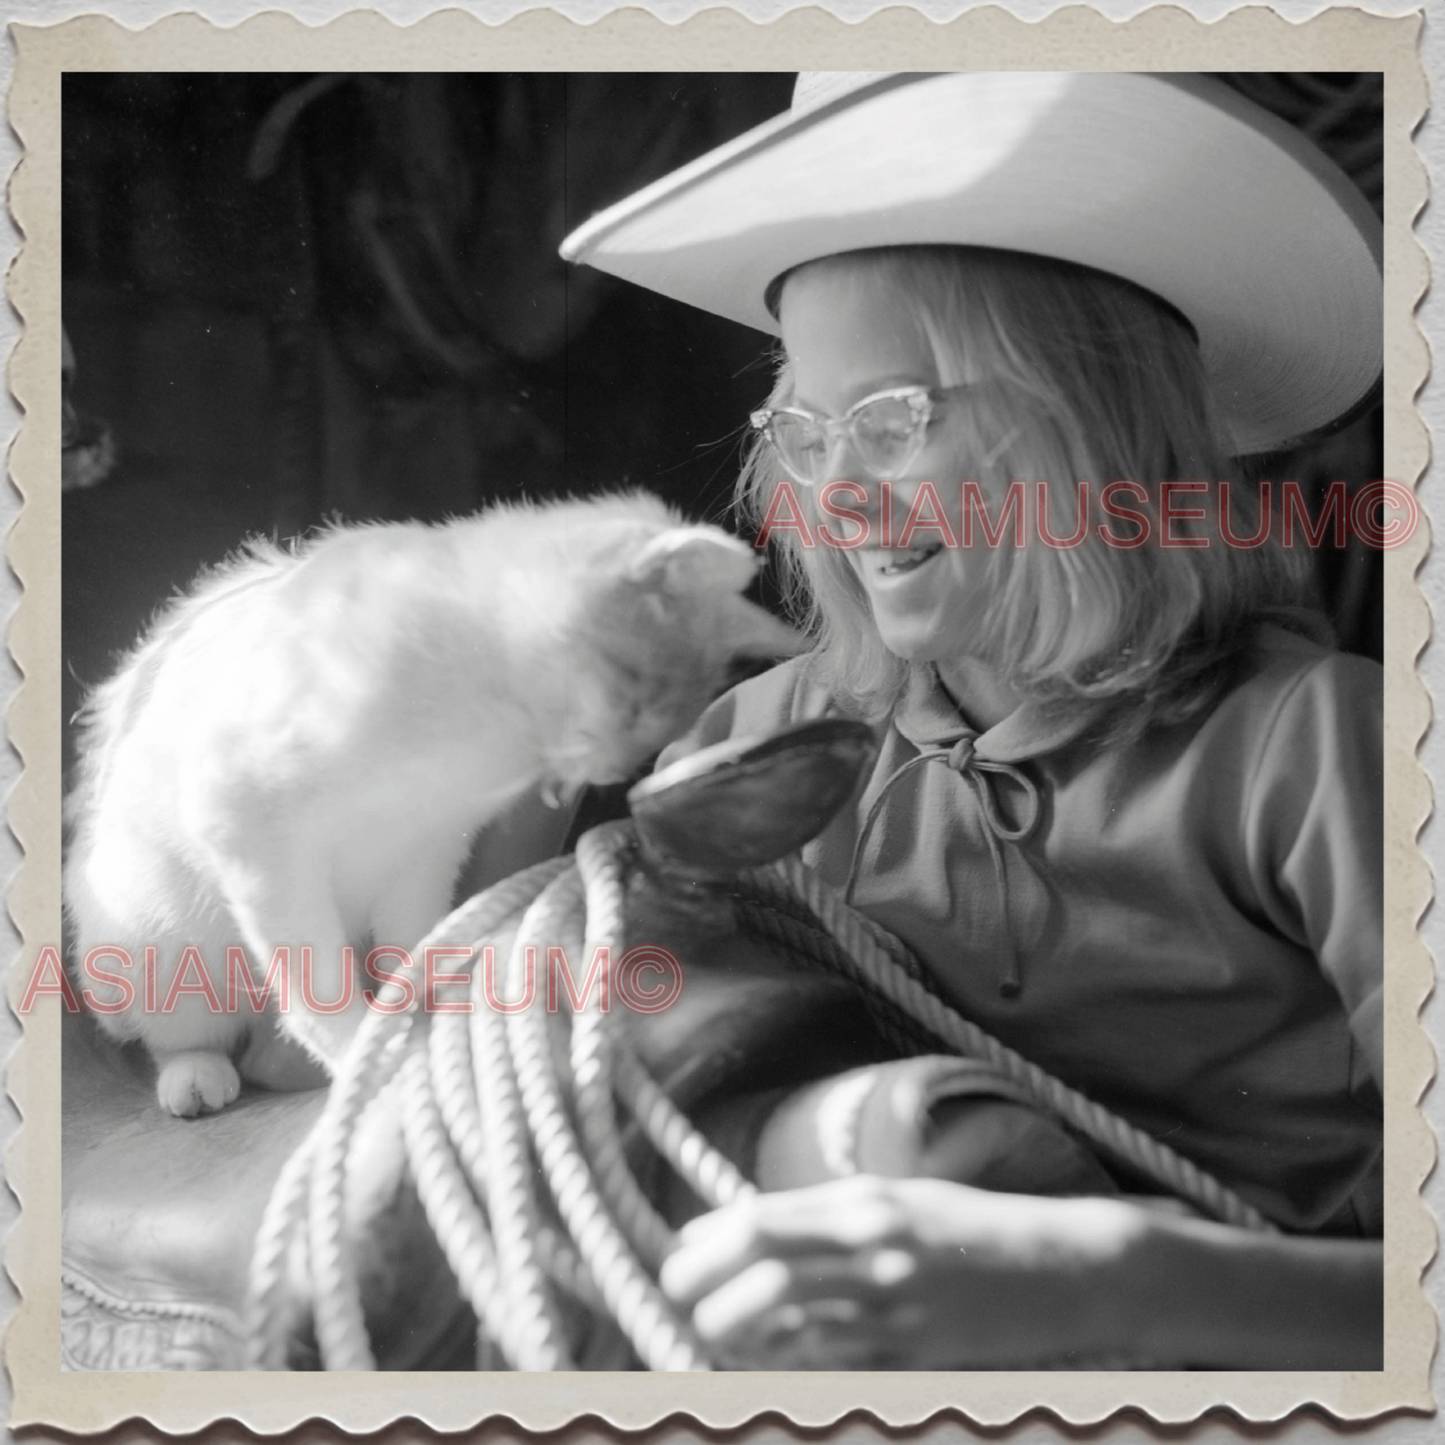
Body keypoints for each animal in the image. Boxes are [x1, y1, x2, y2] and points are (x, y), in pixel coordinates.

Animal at [67, 497, 797, 1115]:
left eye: (664, 728)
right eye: (632, 689)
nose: (618, 769)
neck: (477, 730)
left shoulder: (425, 852)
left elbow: (412, 946)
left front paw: (417, 1023)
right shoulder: (255, 832)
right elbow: (317, 980)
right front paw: (362, 1056)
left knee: (263, 1052)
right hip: (160, 940)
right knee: (184, 1033)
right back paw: (197, 1076)